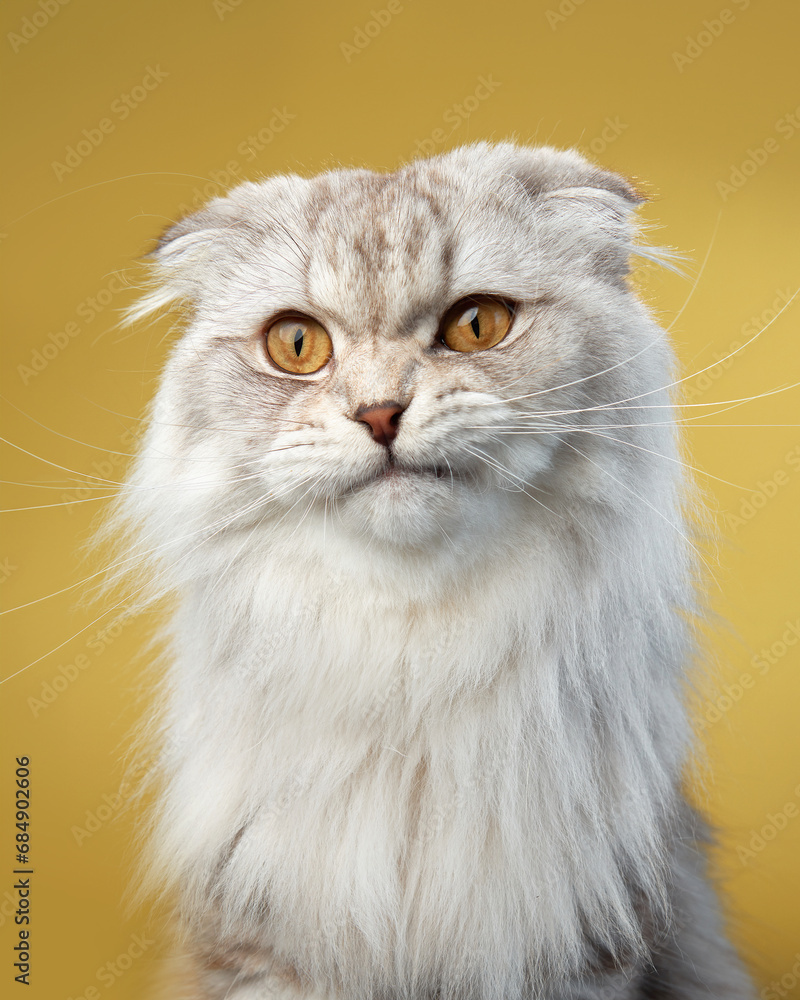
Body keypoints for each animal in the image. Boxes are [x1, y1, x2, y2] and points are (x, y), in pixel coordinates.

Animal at [112, 143, 756, 1000]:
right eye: (296, 346)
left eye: (478, 325)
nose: (380, 413)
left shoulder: (581, 940)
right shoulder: (261, 941)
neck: (414, 654)